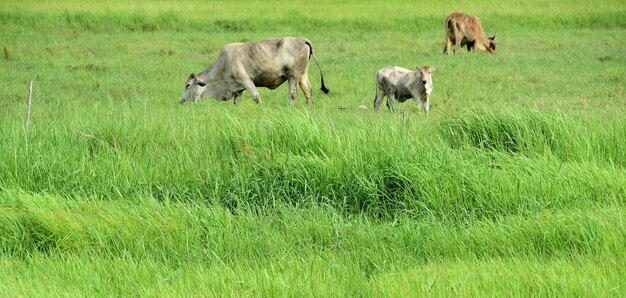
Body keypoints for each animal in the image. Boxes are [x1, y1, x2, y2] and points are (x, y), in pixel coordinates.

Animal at [179, 36, 330, 104]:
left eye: (188, 85)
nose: (181, 100)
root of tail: (303, 39)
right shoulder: (237, 88)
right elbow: (236, 102)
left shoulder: (246, 80)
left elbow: (257, 97)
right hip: (303, 74)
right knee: (308, 91)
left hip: (293, 75)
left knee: (293, 94)